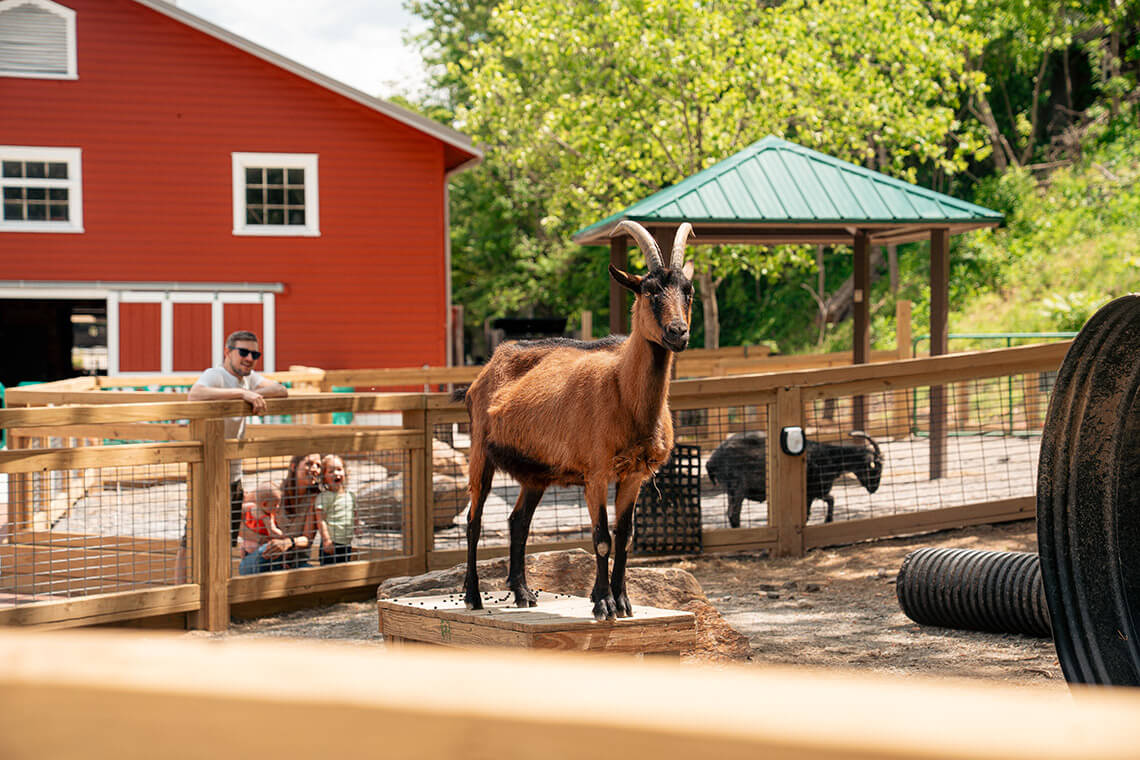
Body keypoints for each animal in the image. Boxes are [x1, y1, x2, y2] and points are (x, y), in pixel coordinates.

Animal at [455, 220, 695, 620]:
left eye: (688, 292)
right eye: (649, 291)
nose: (678, 332)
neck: (622, 389)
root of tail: (487, 368)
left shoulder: (634, 475)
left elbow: (624, 536)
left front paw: (624, 602)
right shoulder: (595, 472)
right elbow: (600, 539)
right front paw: (603, 603)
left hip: (536, 472)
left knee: (518, 522)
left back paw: (523, 593)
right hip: (479, 453)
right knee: (475, 521)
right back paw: (473, 596)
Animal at [706, 430, 883, 526]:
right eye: (874, 468)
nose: (874, 489)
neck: (829, 458)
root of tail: (711, 461)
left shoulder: (817, 491)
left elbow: (830, 499)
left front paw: (828, 520)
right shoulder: (811, 492)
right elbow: (809, 513)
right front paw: (827, 520)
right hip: (737, 488)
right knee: (733, 514)